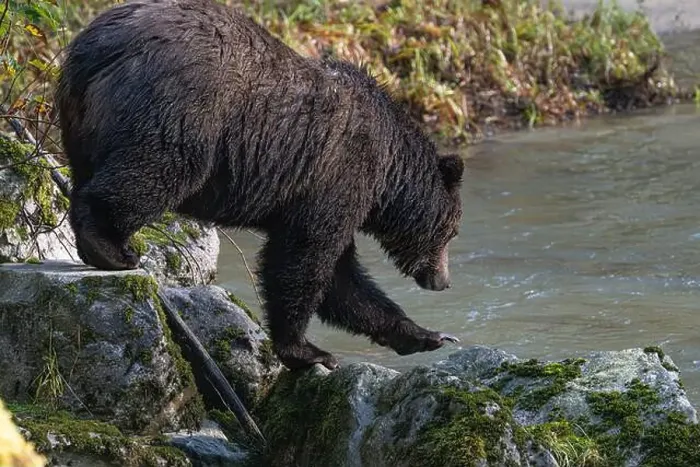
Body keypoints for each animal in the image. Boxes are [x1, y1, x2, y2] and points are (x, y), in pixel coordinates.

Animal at [55, 0, 465, 370]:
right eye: (451, 232)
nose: (444, 281)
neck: (388, 173)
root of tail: (97, 46)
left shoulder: (321, 190)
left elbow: (342, 277)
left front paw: (426, 335)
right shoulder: (338, 174)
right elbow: (306, 257)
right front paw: (308, 350)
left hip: (79, 121)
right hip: (178, 111)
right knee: (155, 170)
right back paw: (111, 248)